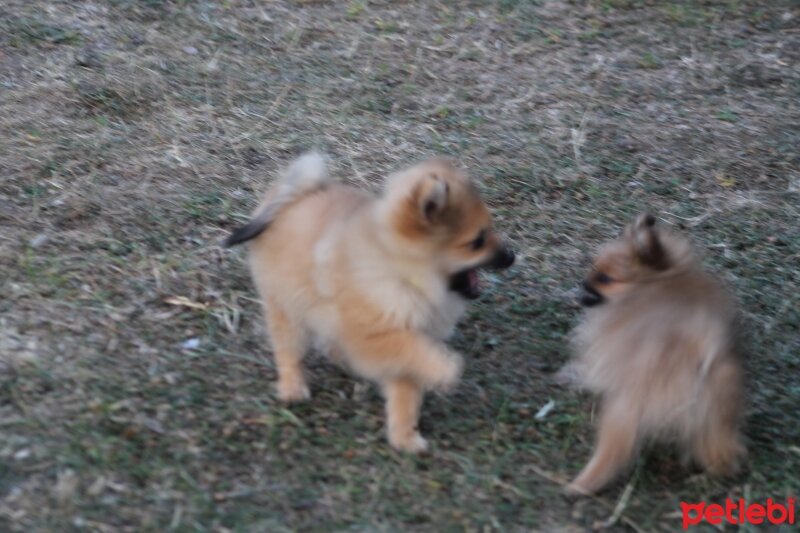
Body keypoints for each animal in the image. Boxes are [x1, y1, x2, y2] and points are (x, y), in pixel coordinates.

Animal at [222, 152, 516, 450]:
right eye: (478, 241)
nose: (511, 256)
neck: (405, 276)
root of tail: (296, 193)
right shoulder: (372, 334)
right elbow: (412, 350)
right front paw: (444, 369)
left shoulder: (405, 344)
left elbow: (406, 393)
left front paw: (404, 436)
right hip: (287, 307)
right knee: (288, 350)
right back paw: (293, 388)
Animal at [564, 213, 748, 494]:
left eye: (605, 279)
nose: (583, 283)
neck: (654, 279)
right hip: (717, 404)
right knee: (721, 450)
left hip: (626, 406)